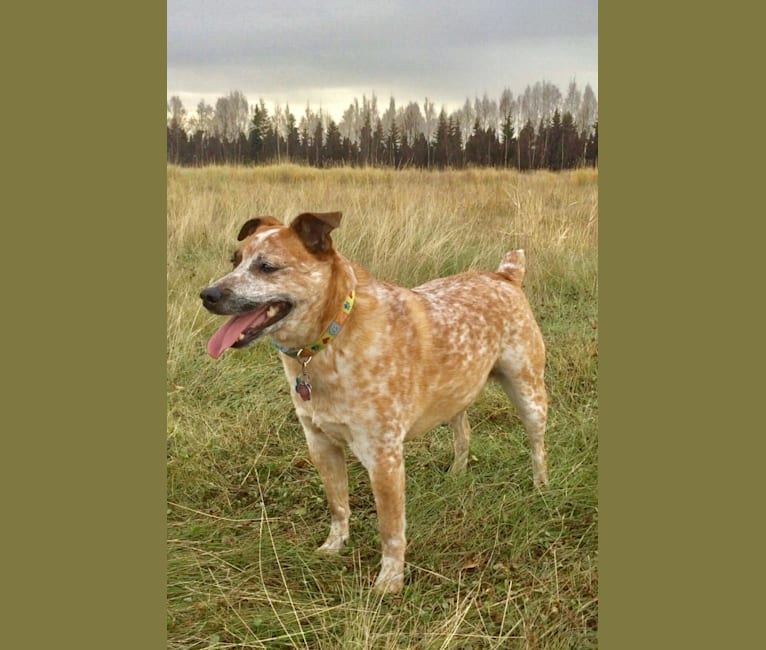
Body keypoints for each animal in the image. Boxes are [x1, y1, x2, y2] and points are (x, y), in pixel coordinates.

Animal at [198, 211, 544, 592]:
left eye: (267, 267)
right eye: (234, 261)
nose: (207, 294)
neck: (329, 340)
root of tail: (505, 274)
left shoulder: (384, 457)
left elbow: (391, 529)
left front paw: (390, 581)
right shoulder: (320, 443)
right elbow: (338, 505)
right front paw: (334, 545)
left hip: (529, 393)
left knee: (536, 445)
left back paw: (541, 488)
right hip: (457, 391)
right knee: (463, 431)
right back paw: (457, 472)